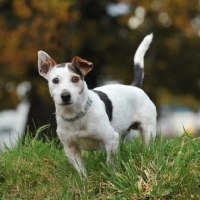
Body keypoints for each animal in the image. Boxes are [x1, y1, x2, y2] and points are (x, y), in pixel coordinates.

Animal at [37, 33, 156, 177]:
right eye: (55, 80)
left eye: (75, 79)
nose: (65, 95)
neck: (76, 116)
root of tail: (135, 86)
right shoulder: (70, 149)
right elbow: (81, 170)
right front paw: (84, 182)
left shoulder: (111, 139)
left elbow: (110, 163)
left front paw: (110, 175)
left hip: (148, 129)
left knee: (148, 143)